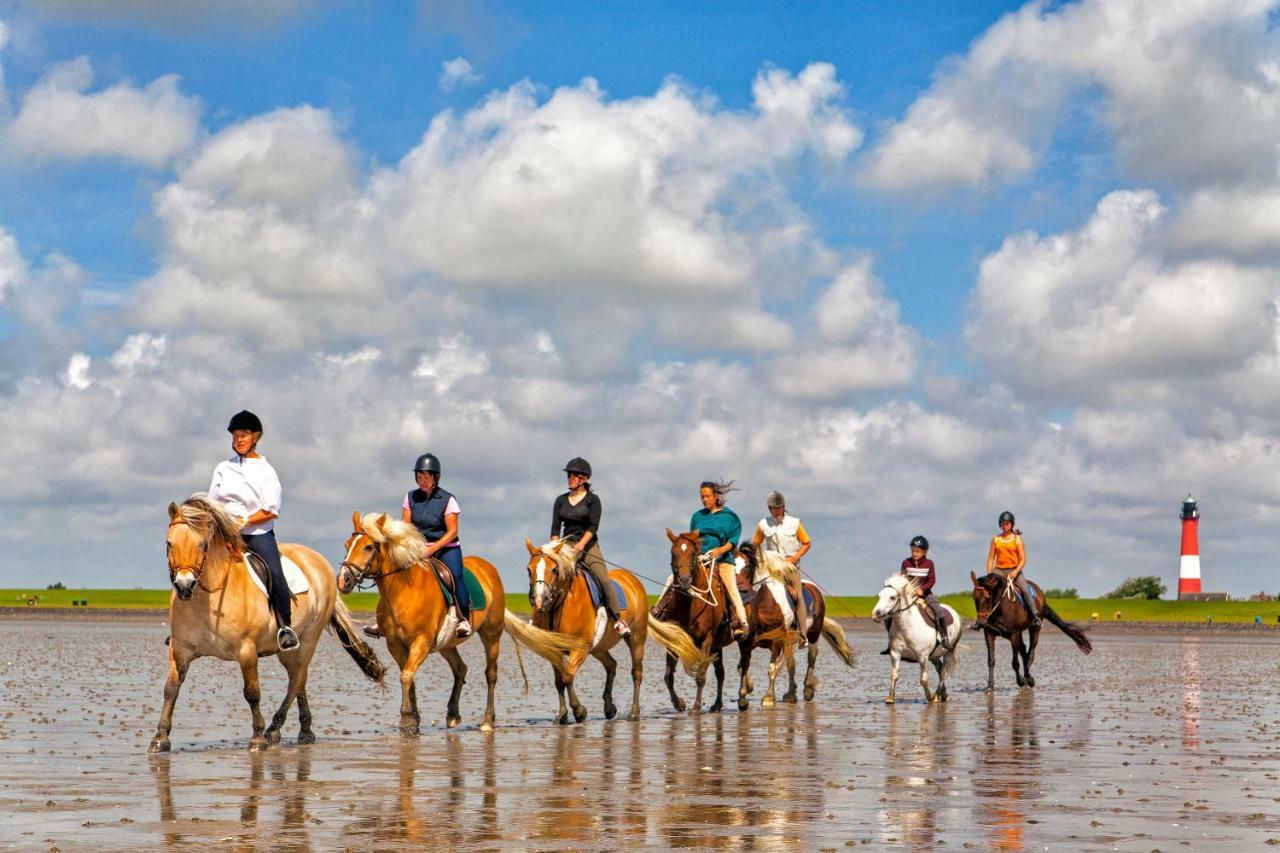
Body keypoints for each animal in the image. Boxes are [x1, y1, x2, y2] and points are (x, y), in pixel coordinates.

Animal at [147, 491, 381, 753]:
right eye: (169, 543)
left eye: (202, 544)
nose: (184, 585)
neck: (209, 598)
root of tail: (318, 560)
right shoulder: (181, 649)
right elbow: (171, 688)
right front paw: (160, 738)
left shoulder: (246, 650)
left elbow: (252, 692)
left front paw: (257, 737)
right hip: (287, 649)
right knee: (298, 678)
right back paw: (304, 731)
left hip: (309, 638)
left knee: (296, 680)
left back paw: (273, 730)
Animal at [335, 512, 550, 732]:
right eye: (347, 545)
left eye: (369, 547)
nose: (344, 580)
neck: (402, 590)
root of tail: (486, 567)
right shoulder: (394, 645)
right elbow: (408, 677)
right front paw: (414, 718)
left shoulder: (421, 642)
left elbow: (406, 676)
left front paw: (406, 720)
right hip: (447, 643)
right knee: (460, 668)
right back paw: (453, 714)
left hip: (491, 635)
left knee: (491, 673)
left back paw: (487, 721)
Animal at [732, 540, 849, 706]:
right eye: (732, 564)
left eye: (748, 566)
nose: (736, 589)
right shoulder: (746, 641)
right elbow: (743, 665)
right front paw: (747, 689)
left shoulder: (776, 641)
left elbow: (772, 668)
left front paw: (769, 697)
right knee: (791, 663)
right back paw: (791, 694)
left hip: (812, 634)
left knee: (812, 656)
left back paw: (808, 689)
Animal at [870, 571, 962, 701]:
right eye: (879, 595)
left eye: (892, 597)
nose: (876, 614)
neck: (907, 628)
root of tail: (953, 612)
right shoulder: (895, 654)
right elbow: (894, 675)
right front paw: (890, 698)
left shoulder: (922, 657)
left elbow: (923, 680)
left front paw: (930, 697)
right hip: (934, 655)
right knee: (939, 669)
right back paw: (943, 694)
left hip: (948, 651)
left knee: (943, 673)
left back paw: (936, 696)